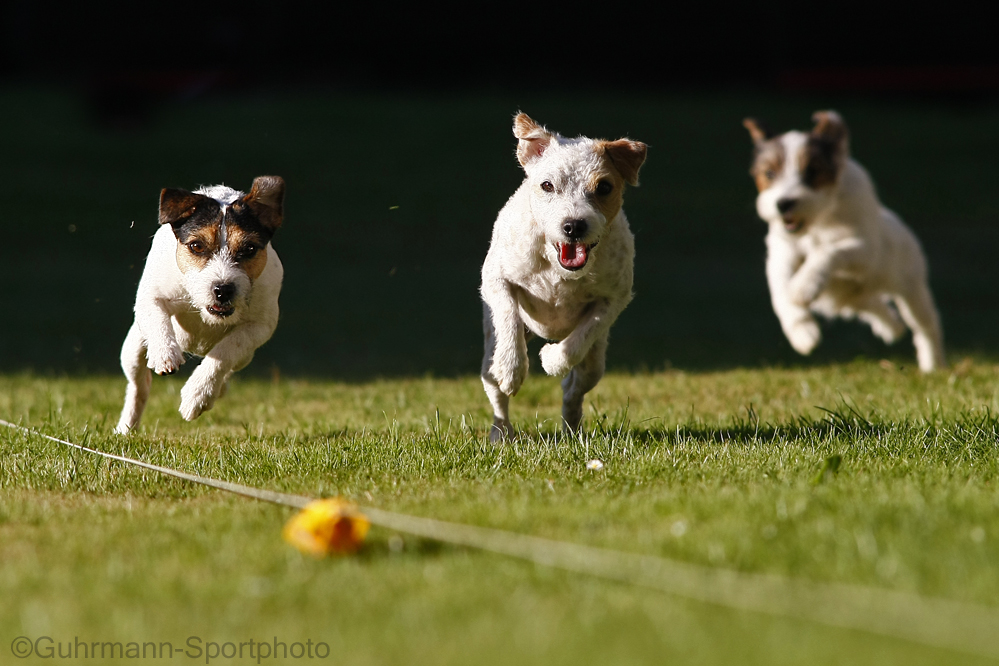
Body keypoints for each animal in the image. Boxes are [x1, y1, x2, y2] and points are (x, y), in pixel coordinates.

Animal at [118, 175, 290, 430]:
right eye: (196, 246)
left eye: (249, 249)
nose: (223, 289)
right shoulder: (150, 296)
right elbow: (158, 319)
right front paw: (165, 354)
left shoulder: (260, 326)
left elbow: (227, 350)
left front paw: (197, 395)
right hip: (132, 350)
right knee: (139, 386)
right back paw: (126, 427)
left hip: (245, 358)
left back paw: (216, 391)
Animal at [482, 111, 652, 438]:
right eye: (547, 185)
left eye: (604, 187)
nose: (574, 225)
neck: (558, 269)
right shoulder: (495, 279)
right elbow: (509, 314)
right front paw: (513, 368)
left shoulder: (614, 299)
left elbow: (580, 339)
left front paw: (552, 360)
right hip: (488, 353)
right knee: (497, 394)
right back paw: (501, 432)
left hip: (595, 364)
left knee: (574, 388)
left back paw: (572, 429)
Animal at [748, 108, 948, 368]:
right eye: (769, 173)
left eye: (812, 172)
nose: (783, 204)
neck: (818, 220)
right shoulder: (782, 251)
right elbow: (781, 289)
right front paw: (803, 333)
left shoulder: (864, 248)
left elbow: (829, 251)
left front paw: (804, 286)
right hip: (853, 297)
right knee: (872, 305)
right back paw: (891, 327)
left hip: (911, 289)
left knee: (926, 326)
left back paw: (933, 365)